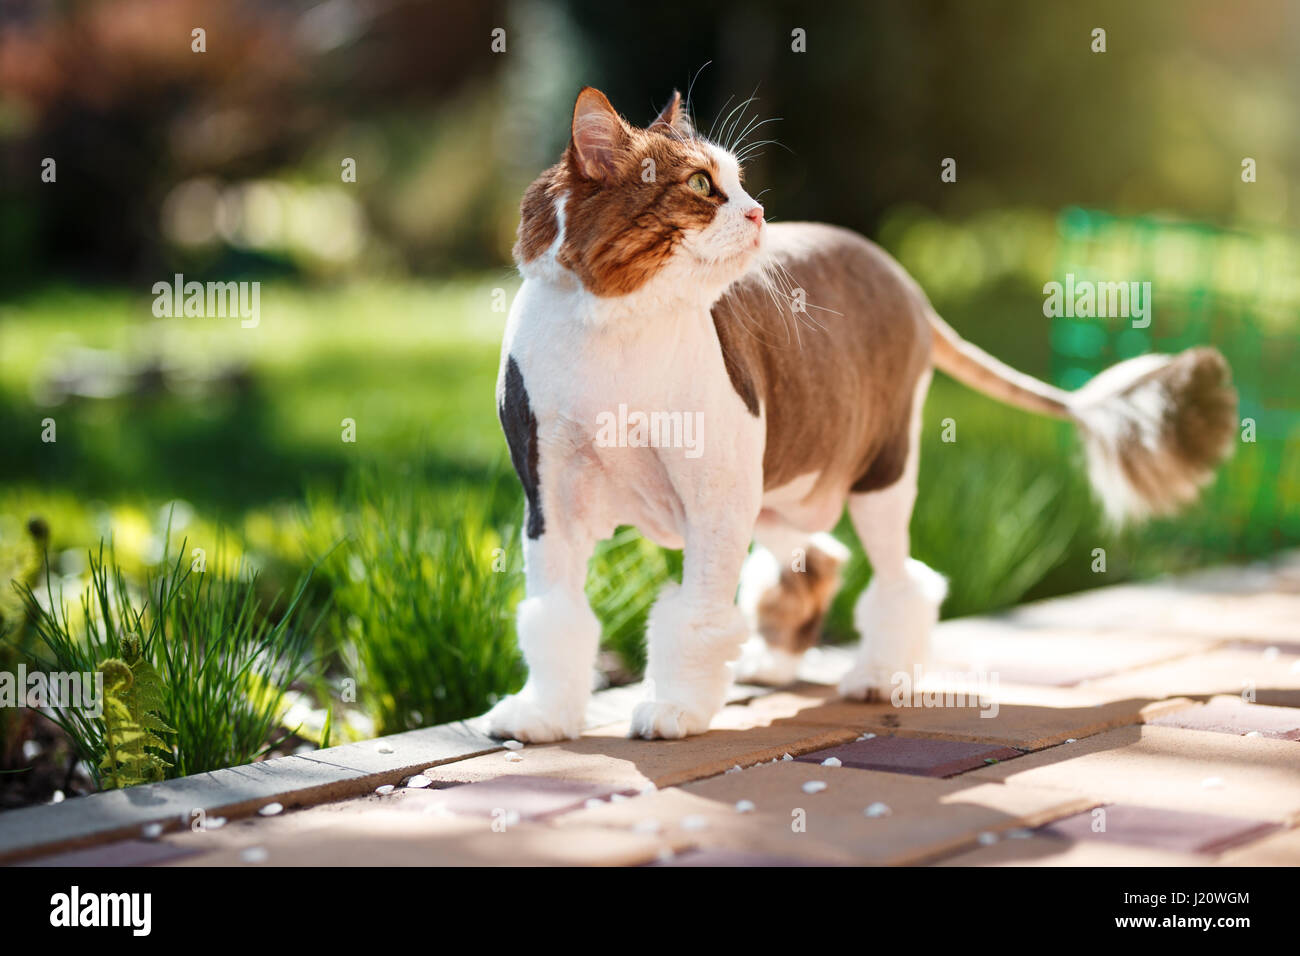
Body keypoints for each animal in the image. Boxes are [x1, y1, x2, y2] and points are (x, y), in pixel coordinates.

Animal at [486, 87, 1227, 738]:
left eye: (740, 183)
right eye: (701, 184)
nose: (758, 213)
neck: (613, 336)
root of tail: (905, 280)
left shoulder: (715, 500)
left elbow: (696, 616)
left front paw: (677, 710)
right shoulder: (552, 501)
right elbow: (555, 616)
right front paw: (543, 717)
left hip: (879, 475)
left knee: (901, 581)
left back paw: (877, 676)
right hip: (778, 492)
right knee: (819, 558)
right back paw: (774, 663)